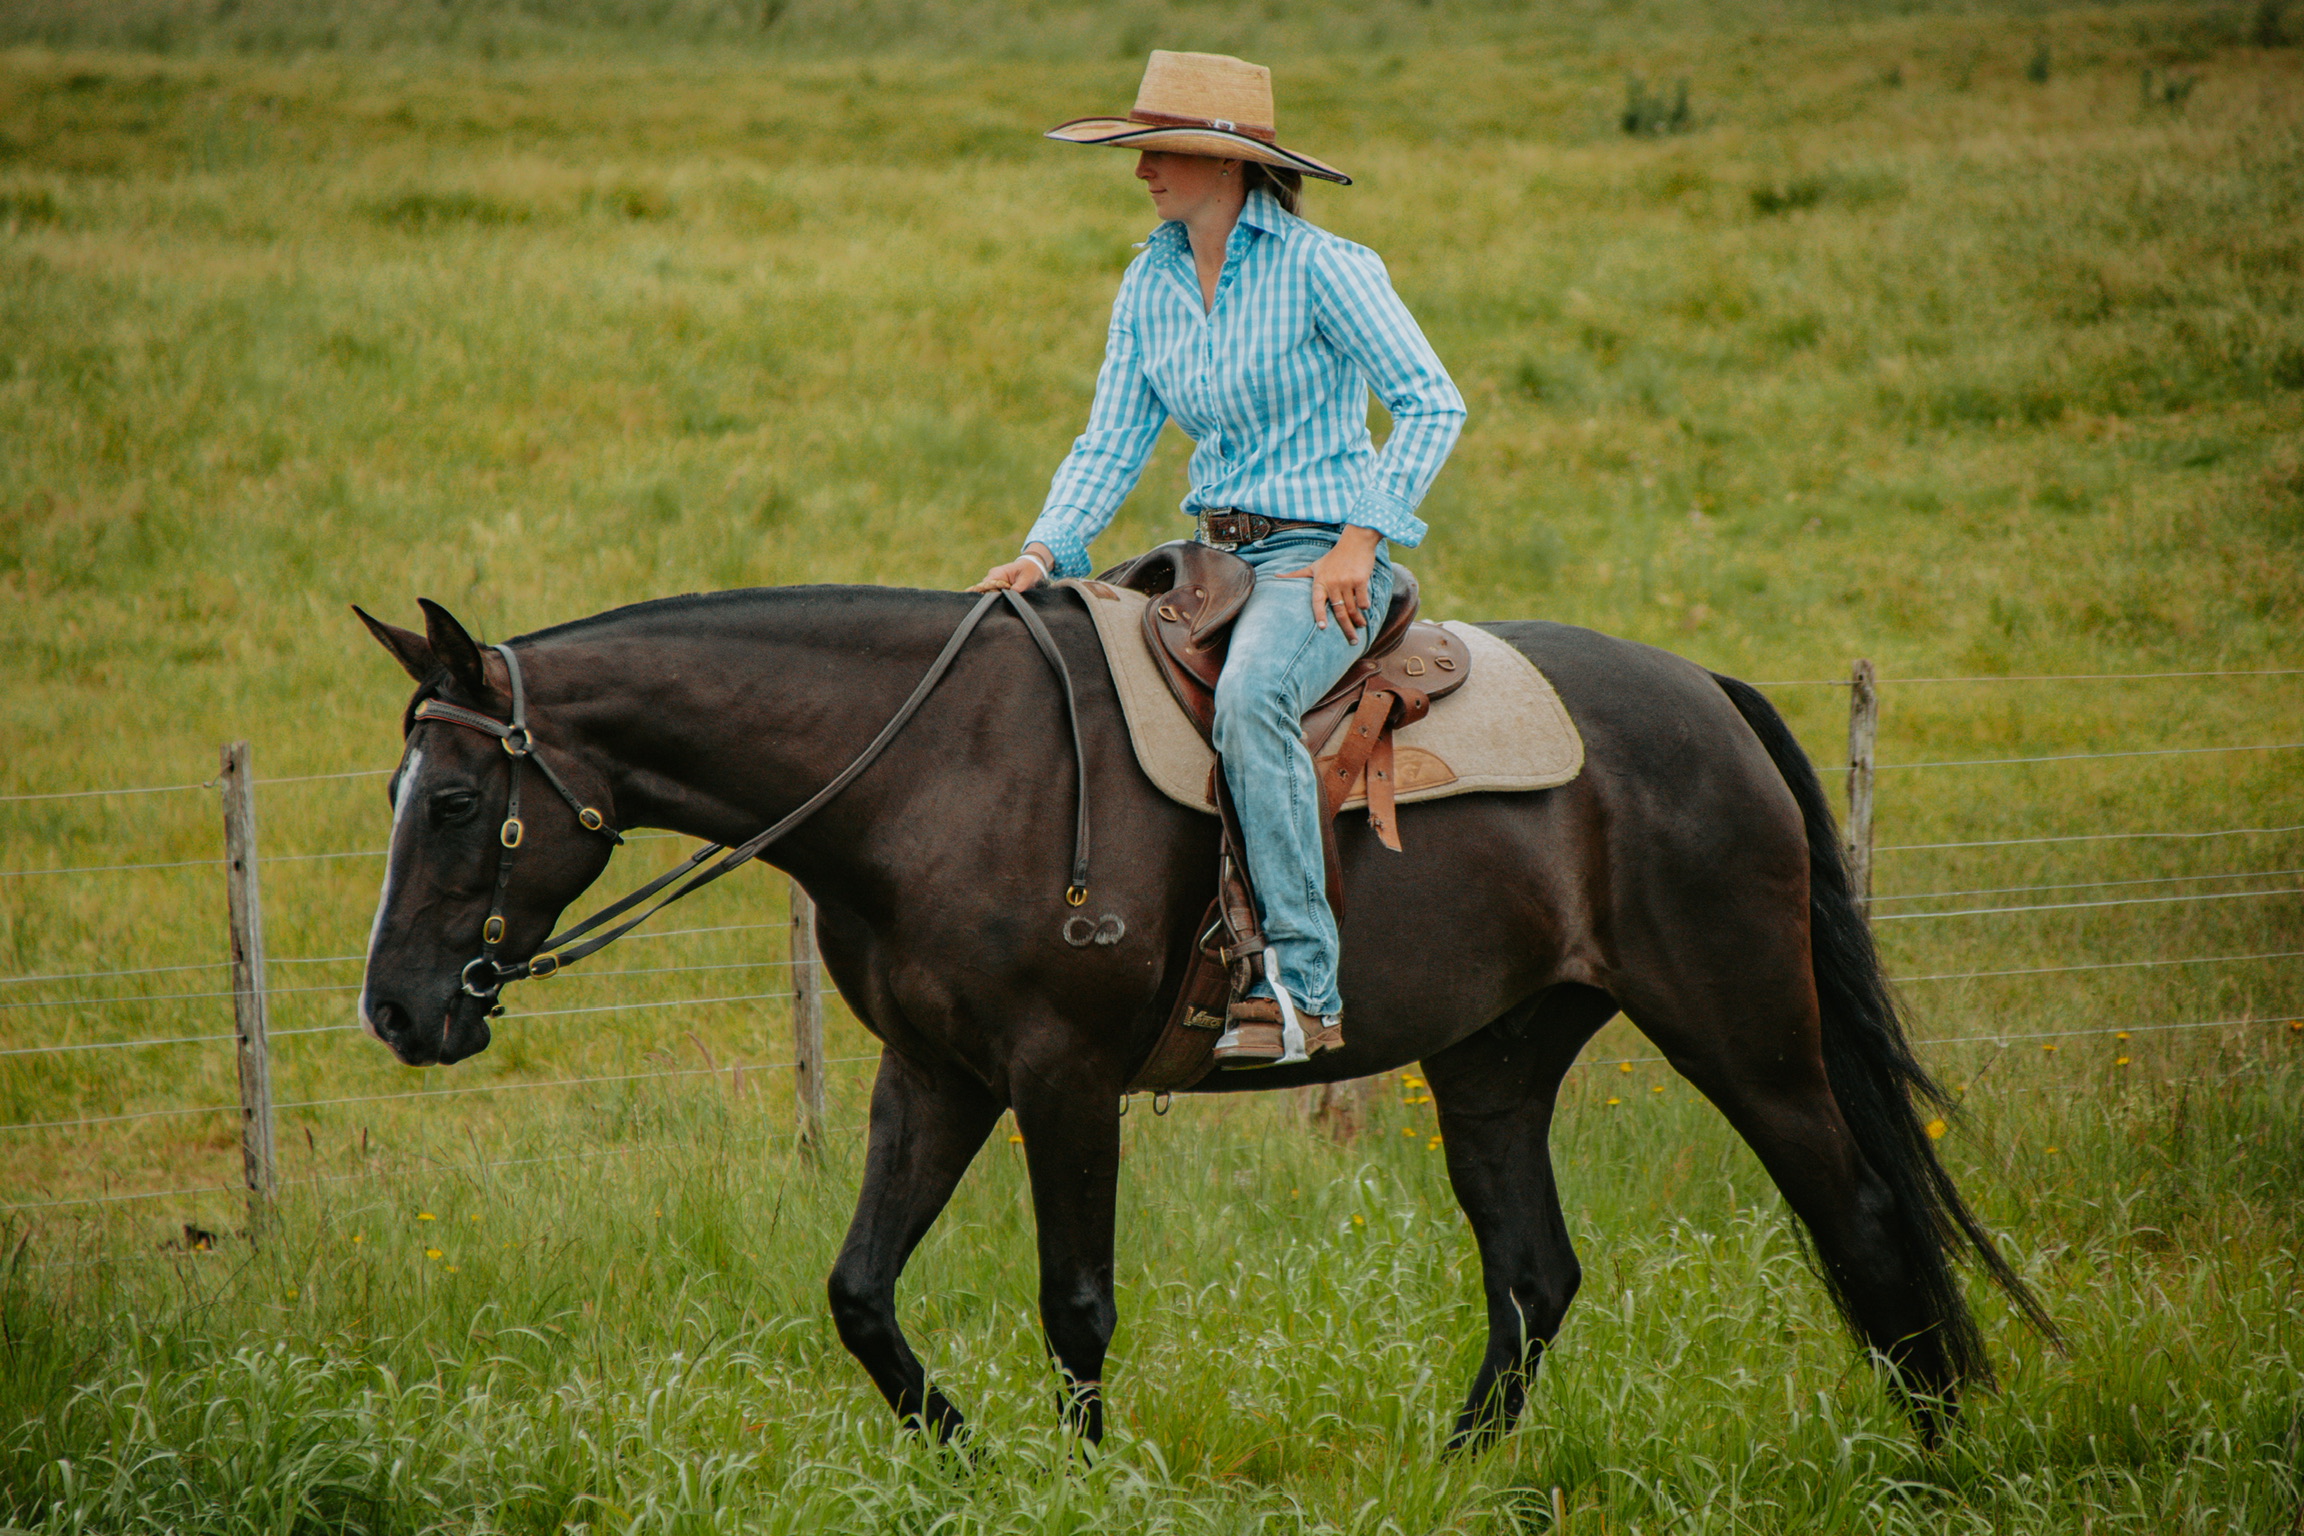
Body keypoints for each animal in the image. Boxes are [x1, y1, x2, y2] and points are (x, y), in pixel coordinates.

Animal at [352, 584, 2051, 1452]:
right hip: (1496, 1063)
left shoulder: (1059, 1079)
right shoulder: (935, 1076)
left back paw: (1939, 1460)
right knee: (1535, 1278)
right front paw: (966, 1455)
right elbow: (859, 1294)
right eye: (393, 790)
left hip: (1747, 1035)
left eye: (455, 801)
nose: (395, 1011)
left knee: (1867, 1221)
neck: (929, 771)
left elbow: (1075, 1305)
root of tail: (1707, 695)